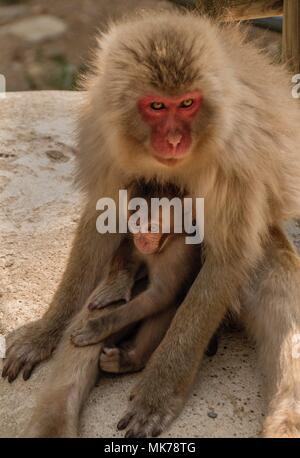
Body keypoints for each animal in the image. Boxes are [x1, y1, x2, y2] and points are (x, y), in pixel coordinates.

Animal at [70, 179, 216, 372]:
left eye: (151, 227)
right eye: (135, 223)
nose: (141, 238)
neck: (169, 239)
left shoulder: (179, 255)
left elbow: (160, 297)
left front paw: (100, 326)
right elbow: (129, 248)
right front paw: (114, 288)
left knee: (169, 305)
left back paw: (131, 359)